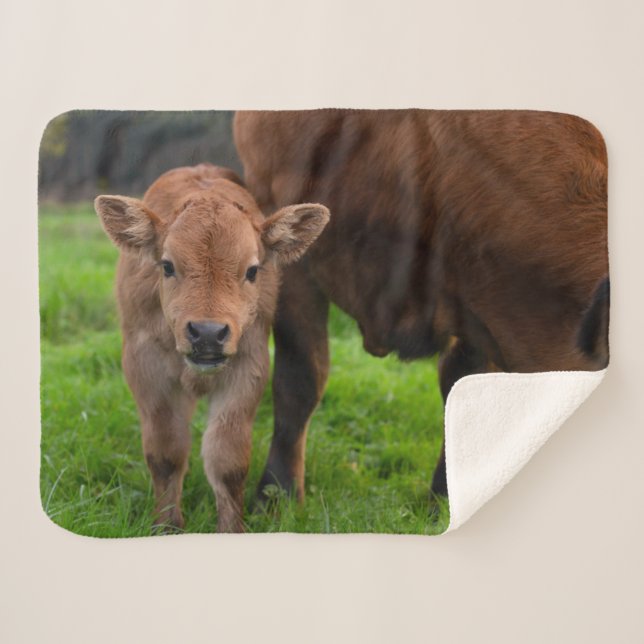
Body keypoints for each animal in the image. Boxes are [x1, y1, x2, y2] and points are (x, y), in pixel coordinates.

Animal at [94, 164, 329, 532]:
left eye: (252, 270)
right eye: (167, 265)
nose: (207, 333)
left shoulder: (248, 368)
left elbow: (228, 461)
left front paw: (231, 529)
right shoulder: (146, 370)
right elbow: (166, 454)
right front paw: (166, 527)